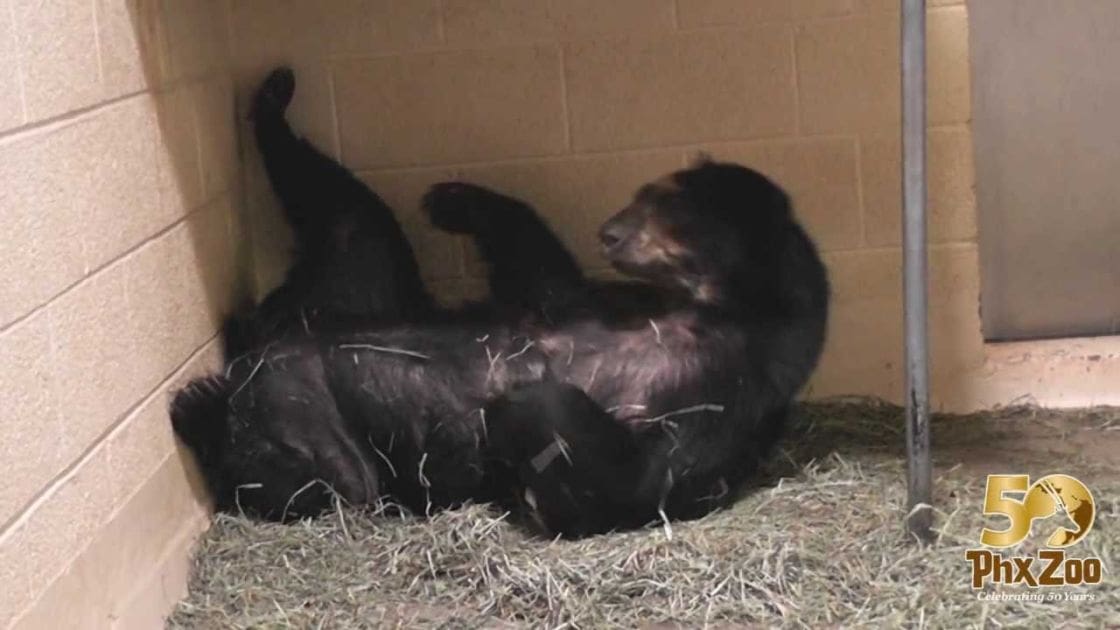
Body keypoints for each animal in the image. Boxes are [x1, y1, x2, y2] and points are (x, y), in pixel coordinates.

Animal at [170, 66, 830, 538]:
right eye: (645, 192)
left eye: (664, 206)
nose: (609, 230)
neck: (713, 310)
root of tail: (263, 340)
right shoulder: (594, 303)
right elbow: (539, 270)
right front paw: (453, 198)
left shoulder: (719, 396)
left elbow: (619, 482)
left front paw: (521, 395)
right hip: (352, 297)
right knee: (351, 218)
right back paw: (274, 98)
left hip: (321, 423)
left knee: (317, 477)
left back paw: (198, 405)